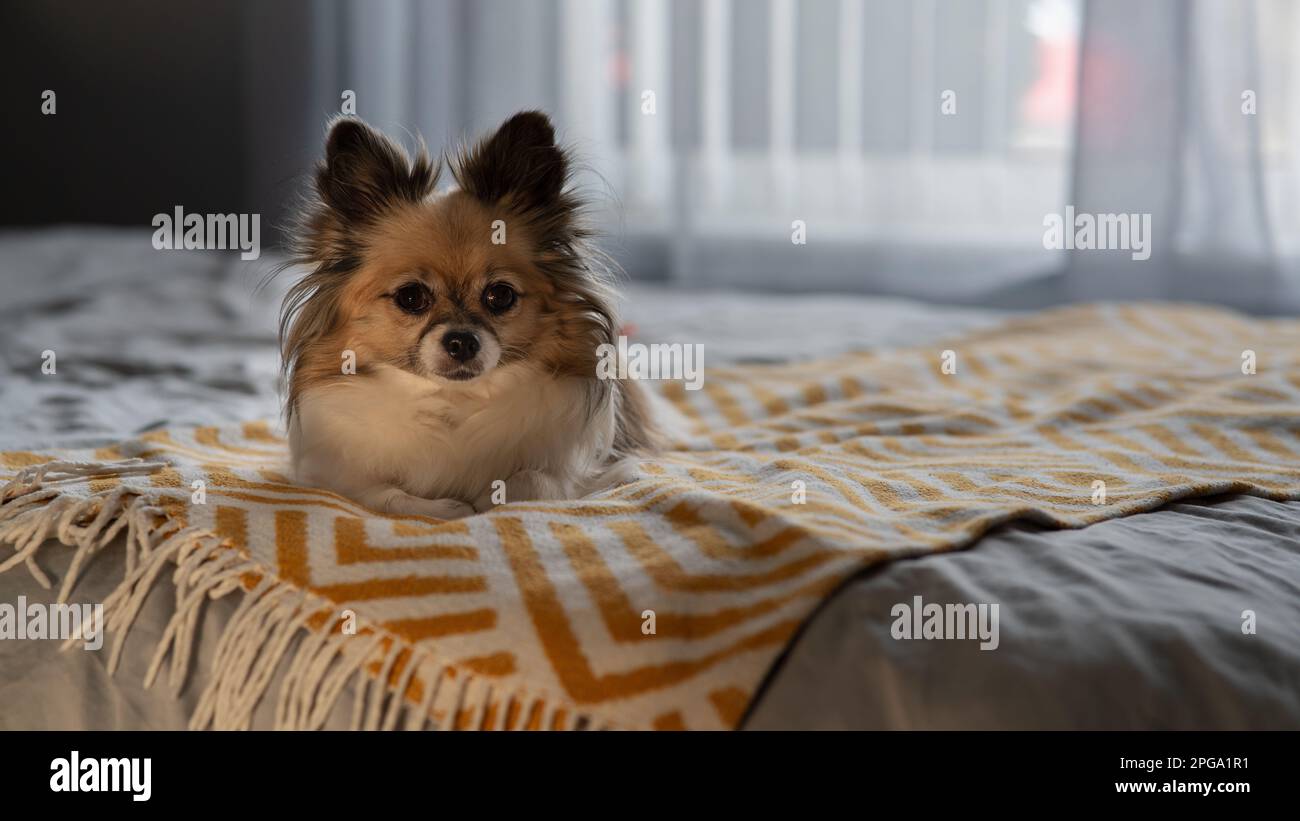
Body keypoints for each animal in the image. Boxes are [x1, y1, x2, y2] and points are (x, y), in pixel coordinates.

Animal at [279, 111, 655, 517]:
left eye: (500, 296)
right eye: (411, 297)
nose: (461, 341)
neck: (453, 402)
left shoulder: (575, 470)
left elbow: (532, 481)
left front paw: (486, 499)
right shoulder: (331, 475)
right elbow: (386, 495)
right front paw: (449, 508)